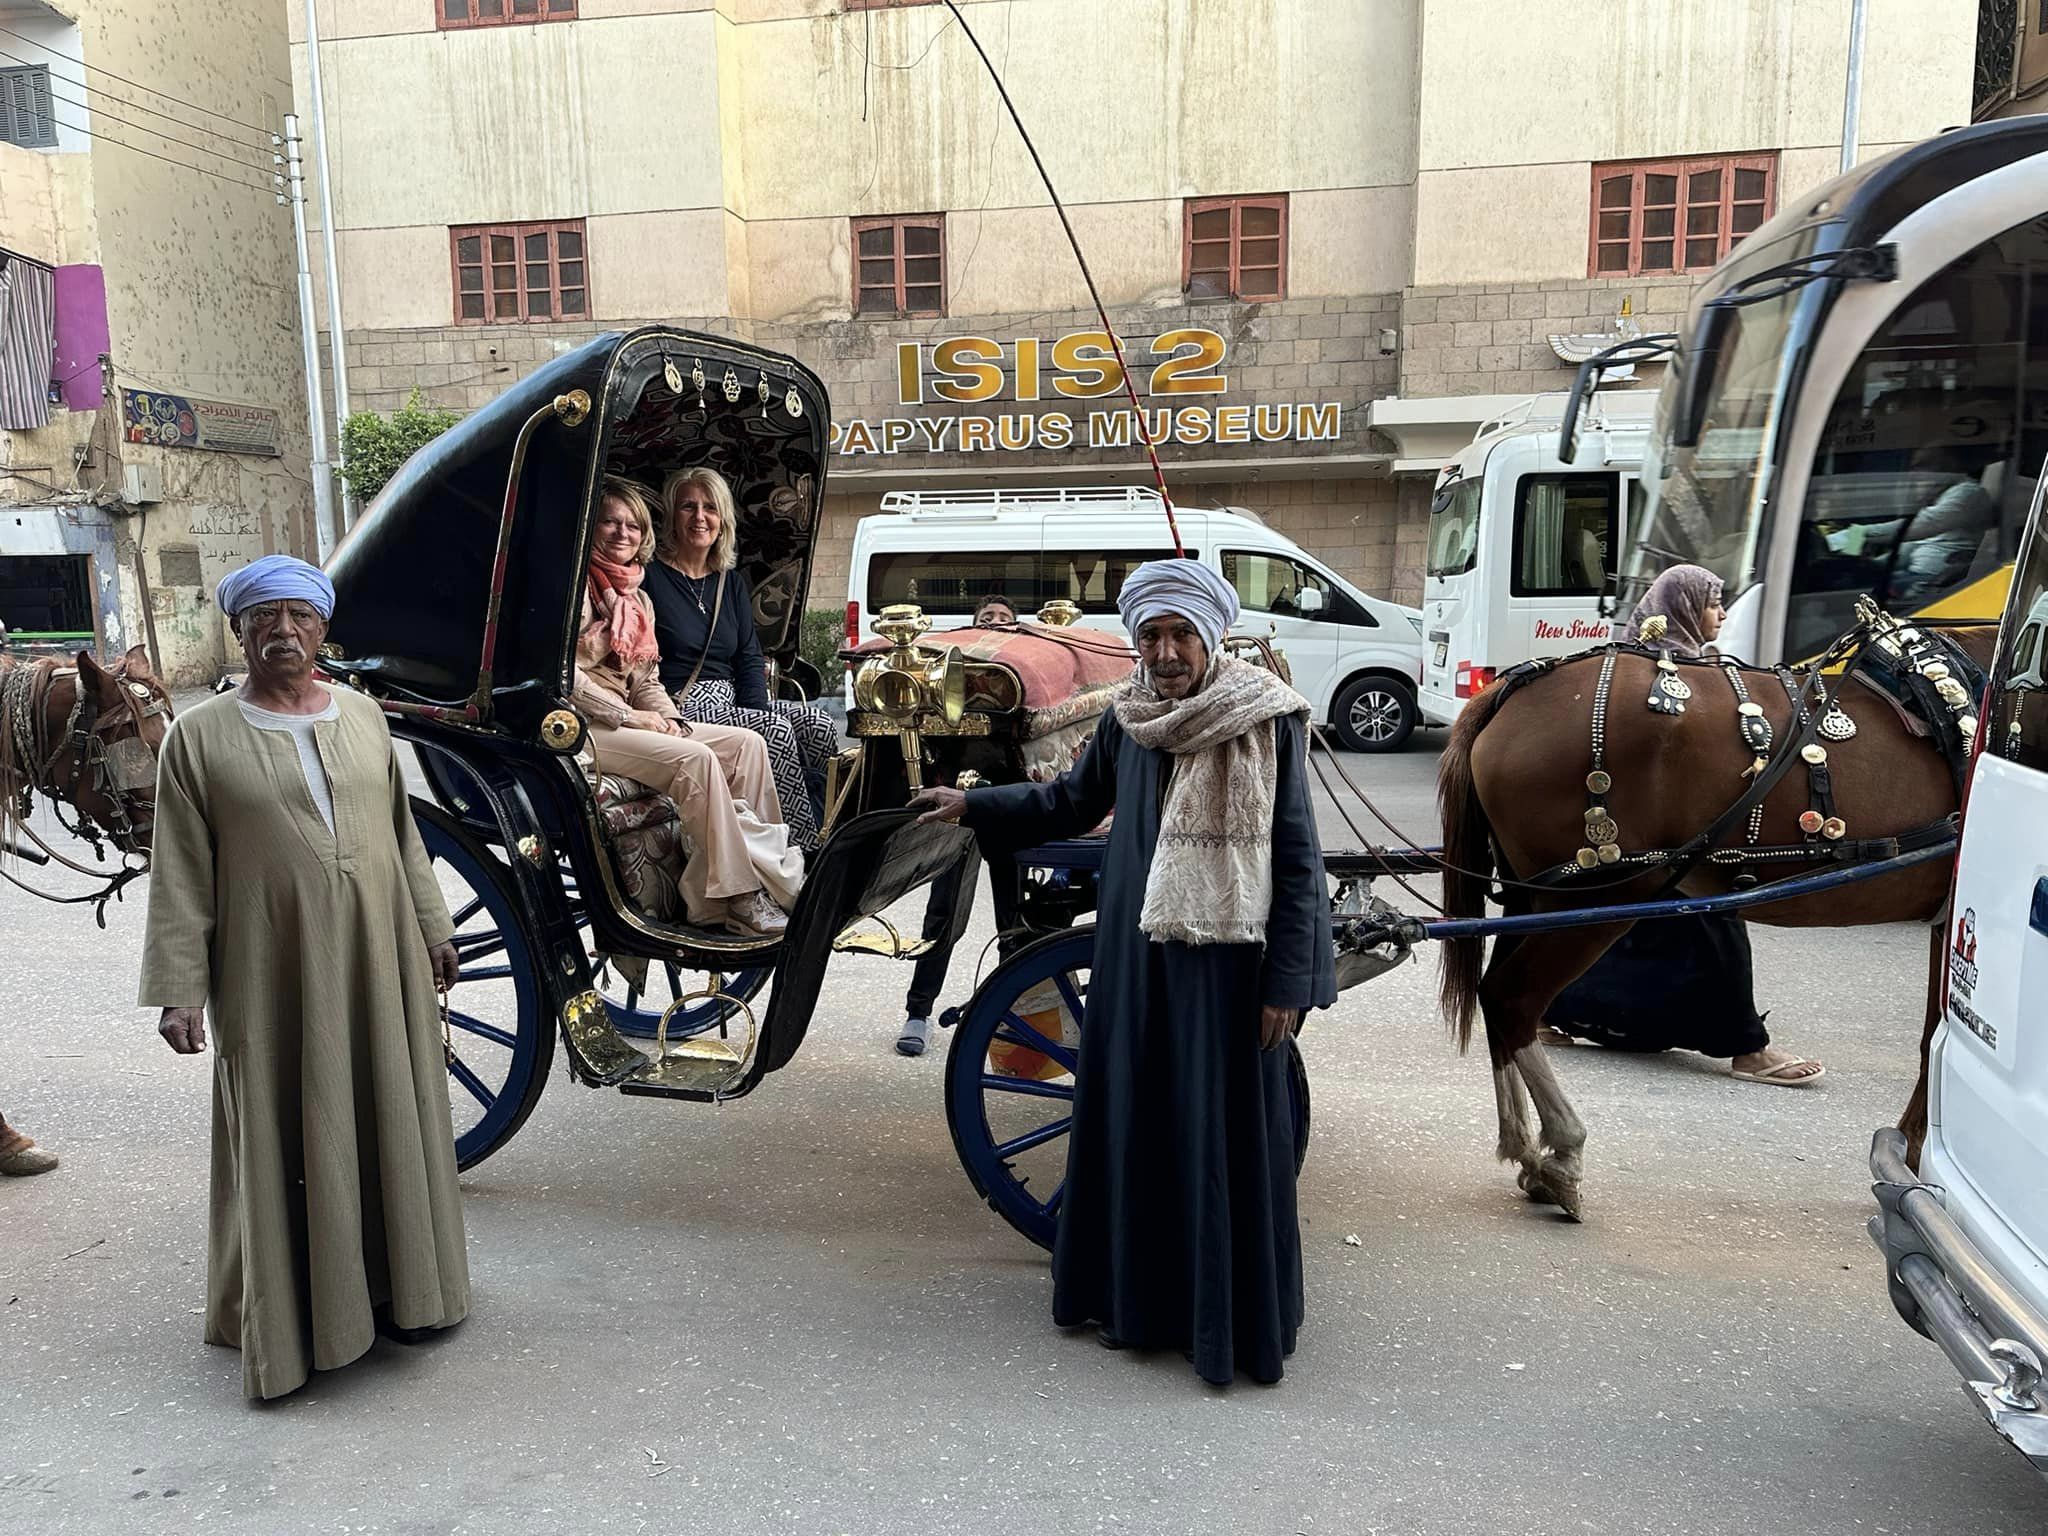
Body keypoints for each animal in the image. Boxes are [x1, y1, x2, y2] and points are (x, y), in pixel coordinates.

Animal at [1433, 630, 1990, 1220]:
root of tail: (1512, 688)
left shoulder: (1947, 921)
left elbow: (1934, 1038)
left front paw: (1912, 1156)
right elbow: (1939, 1041)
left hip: (1537, 895)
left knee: (1494, 995)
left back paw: (1523, 1147)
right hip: (1601, 894)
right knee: (1512, 998)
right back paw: (1561, 1152)